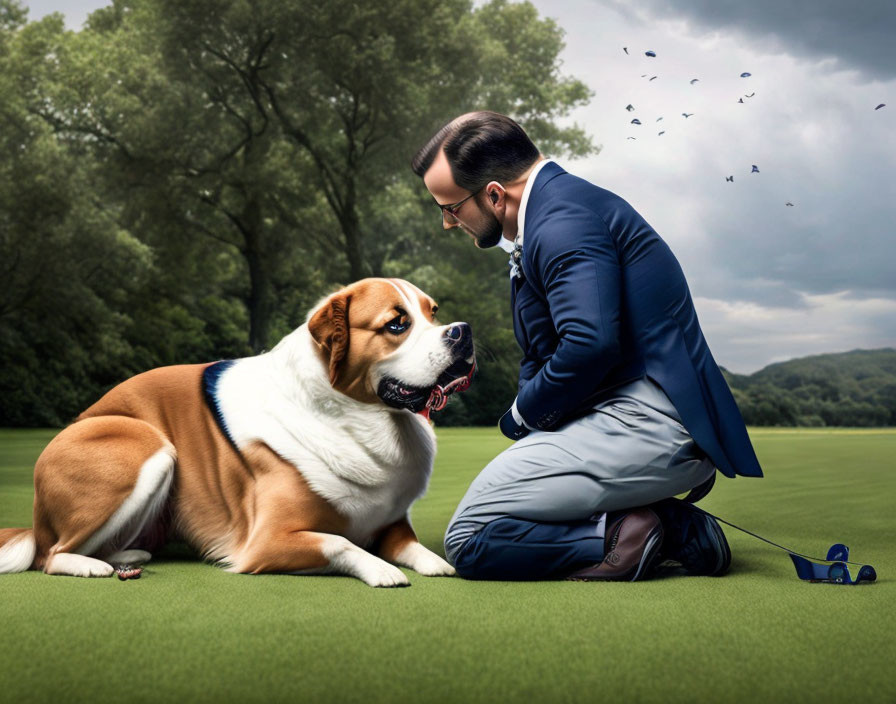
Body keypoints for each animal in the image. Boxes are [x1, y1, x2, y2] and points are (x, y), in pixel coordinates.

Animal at [0, 278, 476, 584]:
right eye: (397, 324)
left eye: (432, 313)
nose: (462, 331)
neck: (352, 414)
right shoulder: (266, 542)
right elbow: (341, 543)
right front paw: (381, 569)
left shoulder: (391, 521)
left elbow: (407, 543)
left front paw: (433, 562)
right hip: (147, 445)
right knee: (49, 555)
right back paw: (90, 566)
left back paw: (127, 555)